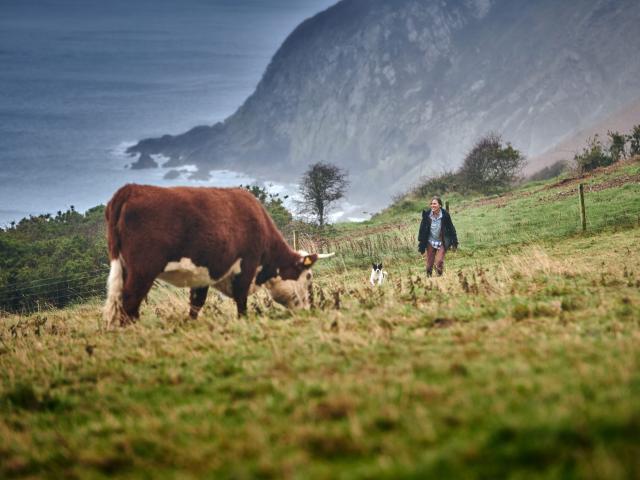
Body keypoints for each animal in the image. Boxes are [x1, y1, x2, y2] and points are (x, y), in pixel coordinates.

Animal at [103, 184, 332, 327]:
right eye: (308, 277)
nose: (309, 310)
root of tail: (130, 189)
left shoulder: (202, 275)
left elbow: (196, 303)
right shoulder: (246, 265)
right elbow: (241, 299)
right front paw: (243, 321)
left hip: (124, 266)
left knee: (119, 301)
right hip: (143, 269)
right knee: (130, 300)